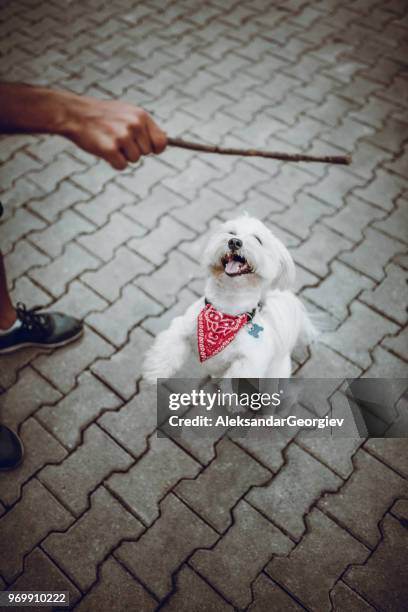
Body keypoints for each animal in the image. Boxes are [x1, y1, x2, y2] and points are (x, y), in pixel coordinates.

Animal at [143, 214, 316, 378]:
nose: (234, 242)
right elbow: (169, 347)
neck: (225, 311)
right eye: (231, 232)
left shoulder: (248, 364)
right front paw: (156, 372)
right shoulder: (183, 326)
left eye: (258, 240)